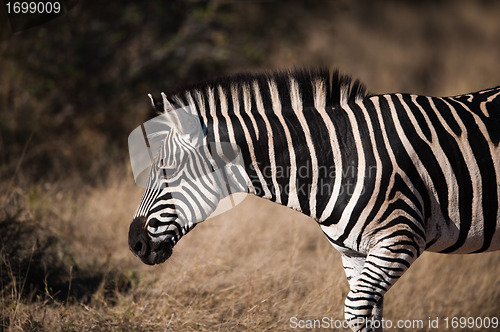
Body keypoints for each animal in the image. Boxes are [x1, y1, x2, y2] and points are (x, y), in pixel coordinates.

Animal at [127, 68, 498, 330]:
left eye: (167, 168)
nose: (135, 243)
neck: (337, 159)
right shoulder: (354, 253)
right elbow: (365, 317)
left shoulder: (399, 240)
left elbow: (355, 308)